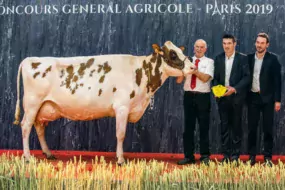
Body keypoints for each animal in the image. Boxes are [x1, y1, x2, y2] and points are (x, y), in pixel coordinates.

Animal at [13, 40, 195, 164]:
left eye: (181, 52)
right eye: (173, 54)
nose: (193, 67)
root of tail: (30, 59)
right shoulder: (122, 107)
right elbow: (120, 134)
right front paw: (120, 159)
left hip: (43, 107)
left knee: (39, 127)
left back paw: (48, 153)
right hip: (32, 104)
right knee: (26, 126)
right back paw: (27, 156)